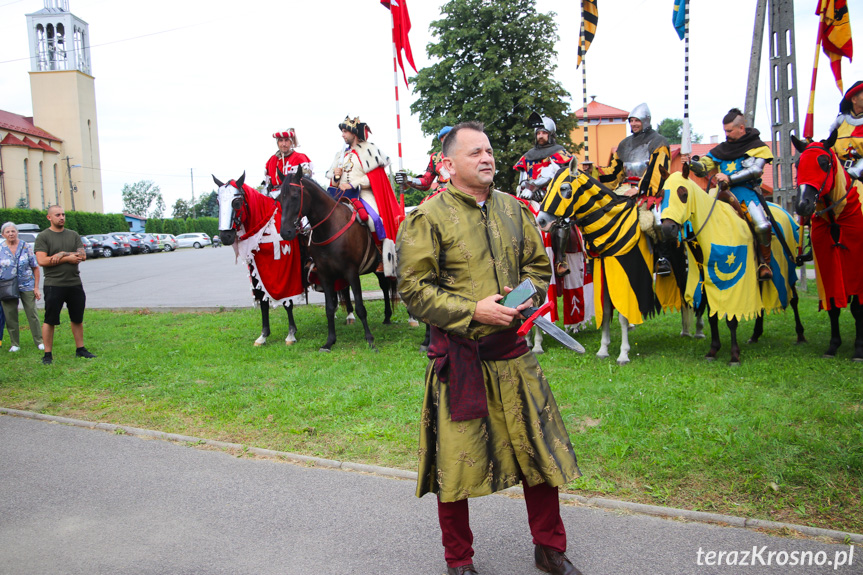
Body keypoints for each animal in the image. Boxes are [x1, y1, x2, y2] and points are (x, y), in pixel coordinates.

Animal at [278, 168, 396, 352]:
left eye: (296, 195)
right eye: (280, 198)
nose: (286, 232)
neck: (329, 228)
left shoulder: (351, 273)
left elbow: (360, 307)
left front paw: (370, 340)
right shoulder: (325, 275)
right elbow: (329, 308)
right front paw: (329, 341)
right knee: (384, 286)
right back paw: (387, 317)